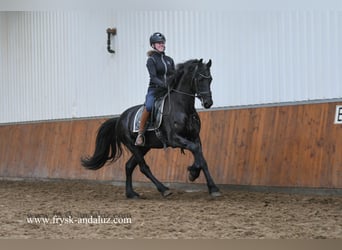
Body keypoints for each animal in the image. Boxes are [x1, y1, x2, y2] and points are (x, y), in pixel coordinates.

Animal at [82, 58, 222, 197]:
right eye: (200, 79)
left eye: (210, 79)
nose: (208, 103)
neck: (183, 108)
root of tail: (120, 118)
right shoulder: (174, 139)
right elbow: (195, 150)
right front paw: (194, 173)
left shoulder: (195, 137)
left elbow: (201, 156)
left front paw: (209, 185)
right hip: (133, 146)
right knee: (143, 167)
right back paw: (163, 189)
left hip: (144, 147)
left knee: (129, 166)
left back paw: (131, 193)